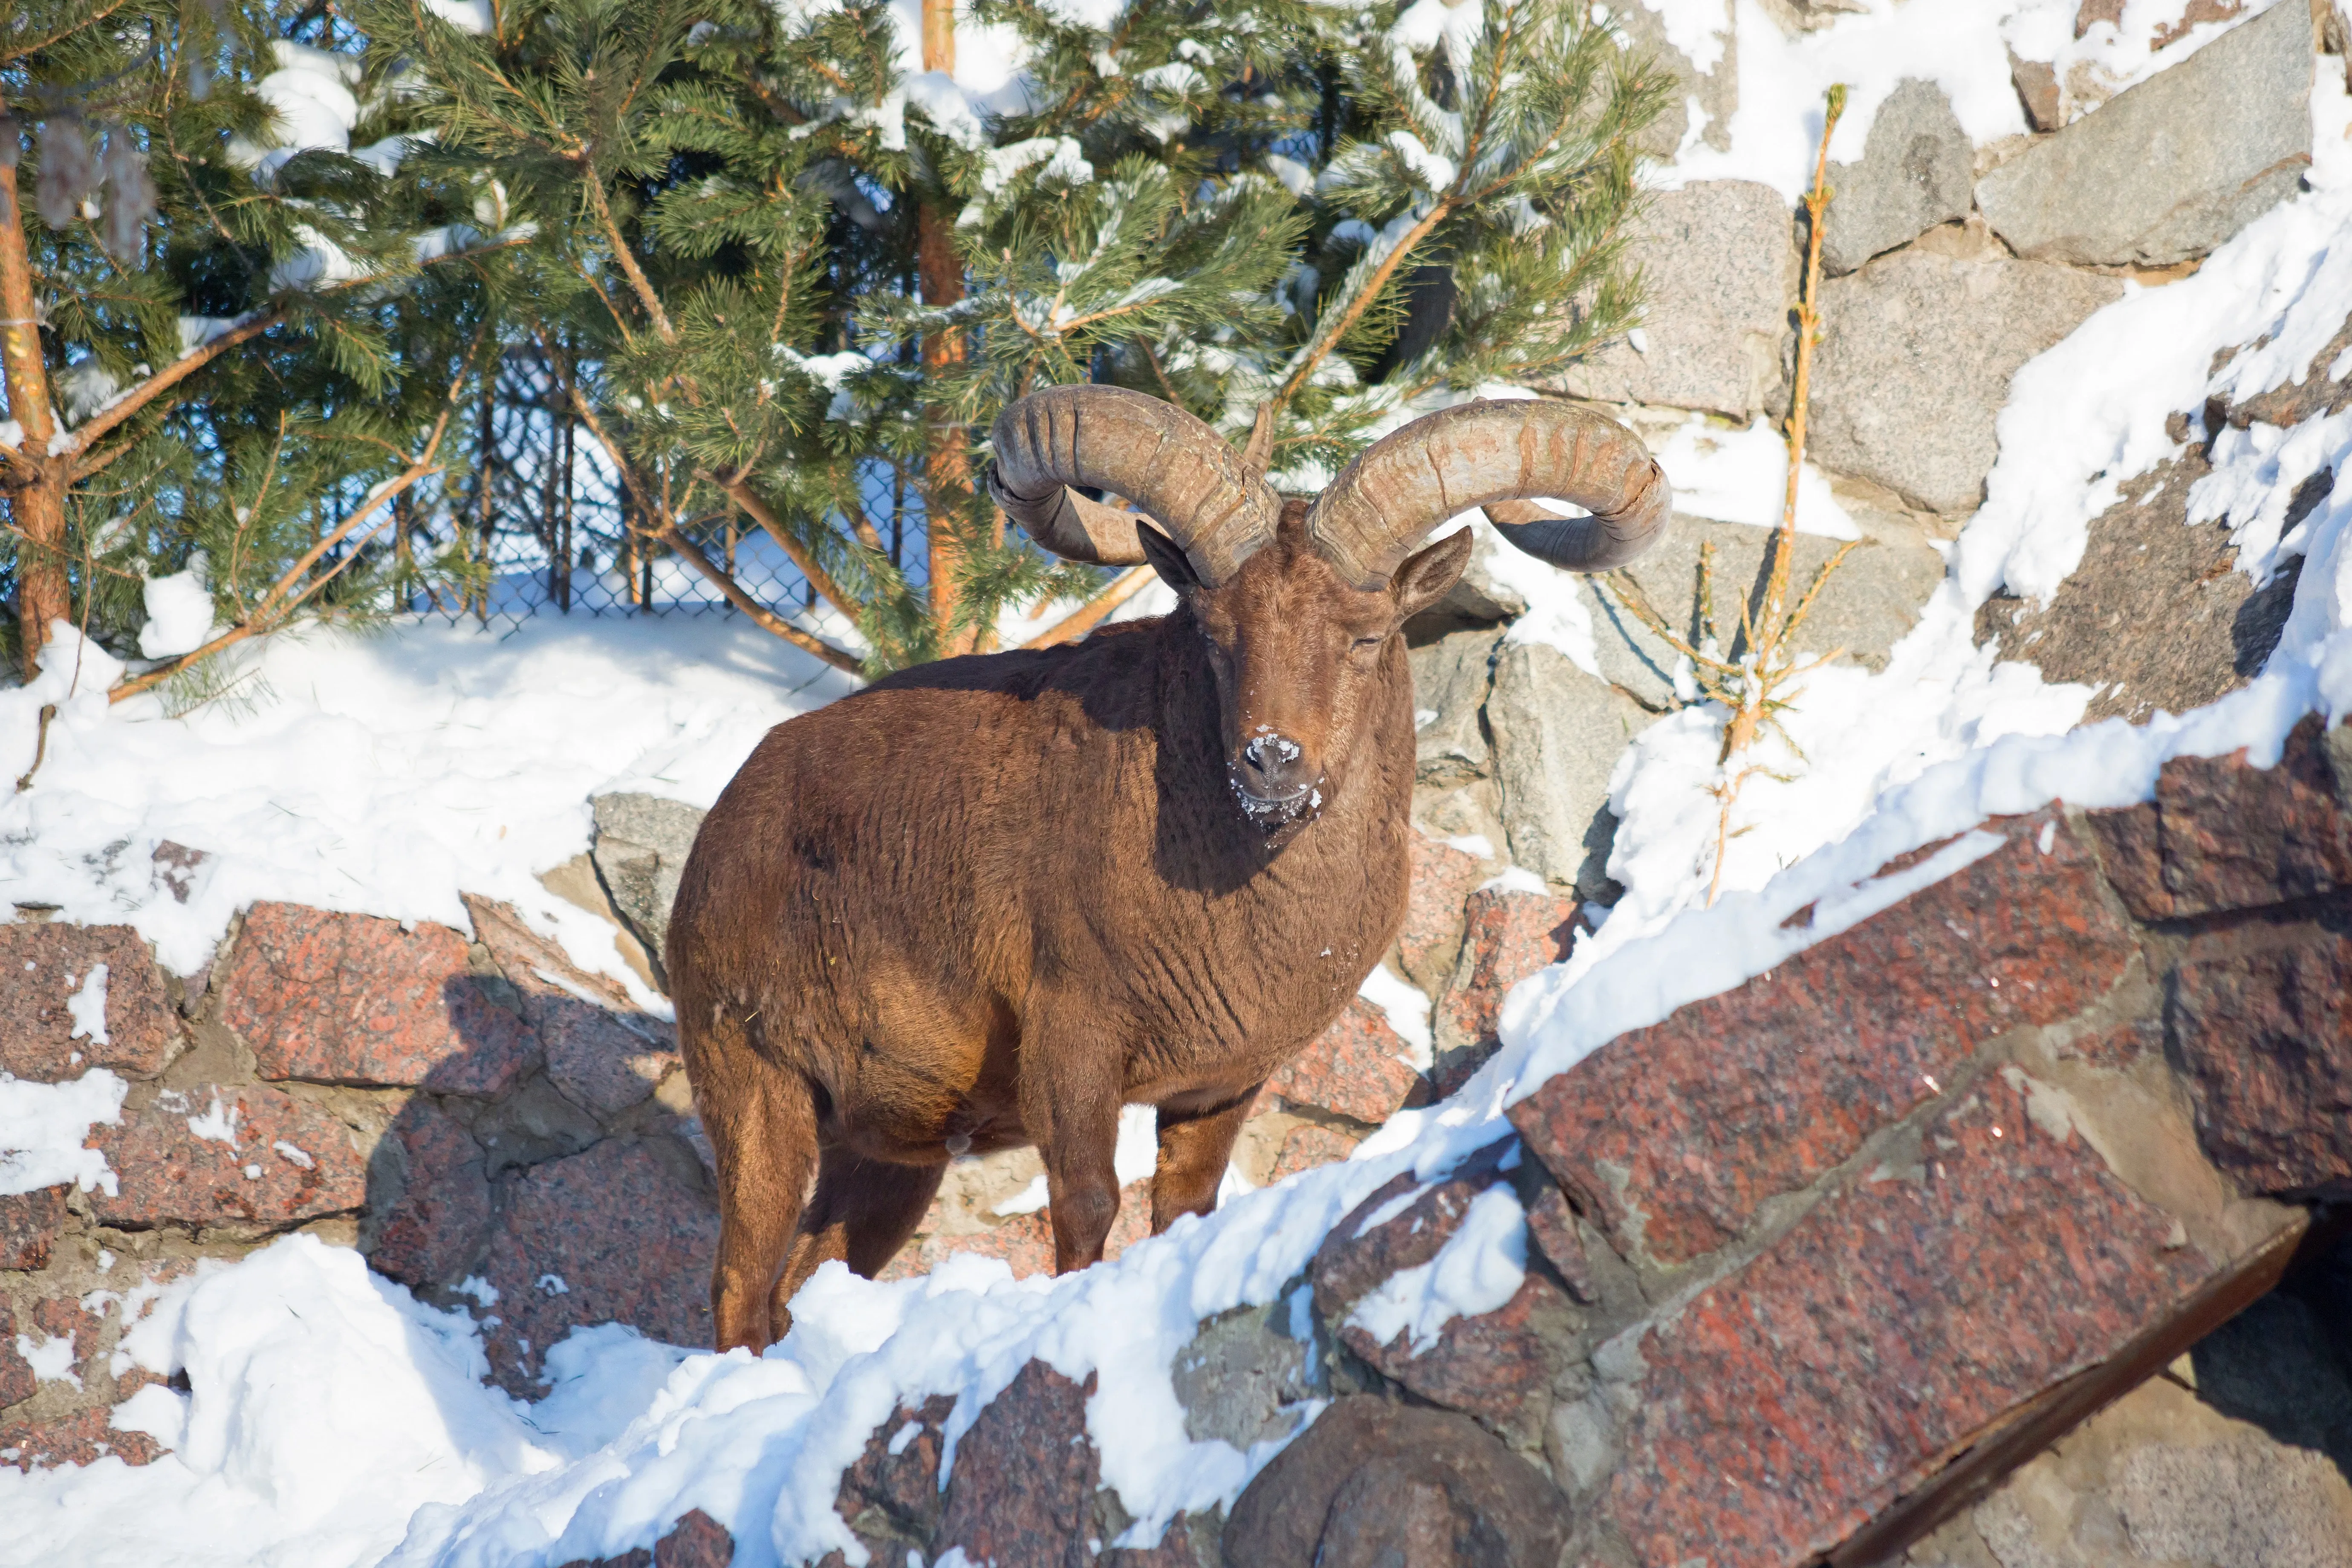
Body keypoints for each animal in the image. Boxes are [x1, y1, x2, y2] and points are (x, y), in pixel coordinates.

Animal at [668, 387, 1669, 1351]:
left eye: (1365, 635)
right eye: (1217, 632)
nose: (1270, 760)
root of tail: (721, 828)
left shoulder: (1218, 1087)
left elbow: (1181, 1208)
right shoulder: (1072, 1046)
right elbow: (1086, 1208)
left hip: (885, 1157)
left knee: (798, 1284)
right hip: (756, 1088)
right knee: (737, 1287)